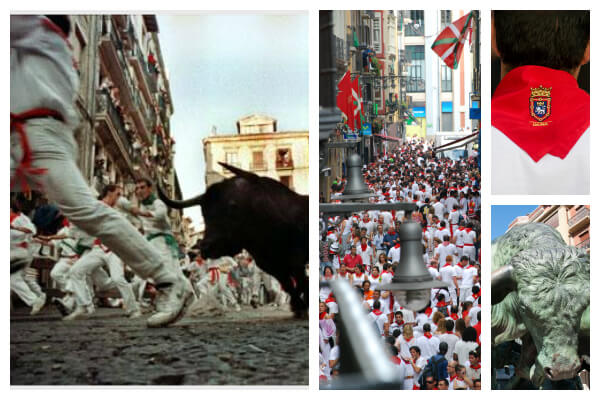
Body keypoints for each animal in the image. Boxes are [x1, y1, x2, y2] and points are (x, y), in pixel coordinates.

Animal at [157, 162, 308, 316]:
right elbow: (289, 284)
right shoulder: (271, 265)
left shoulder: (295, 260)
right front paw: (298, 306)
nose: (206, 247)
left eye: (233, 206)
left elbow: (300, 281)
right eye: (204, 212)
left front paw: (301, 306)